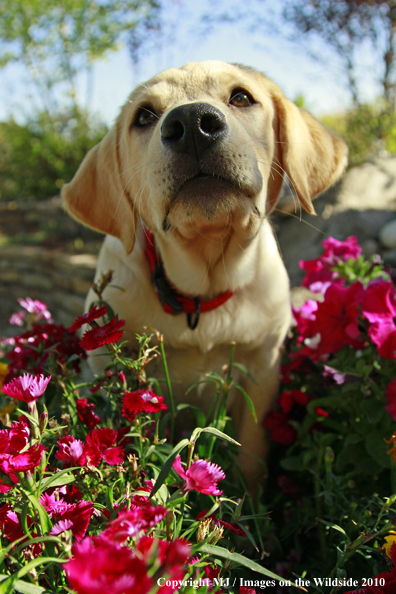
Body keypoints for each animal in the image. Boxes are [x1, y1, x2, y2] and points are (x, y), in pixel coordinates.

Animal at [61, 60, 346, 488]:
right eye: (144, 116)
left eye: (241, 97)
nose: (192, 122)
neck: (202, 291)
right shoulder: (114, 371)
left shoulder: (263, 368)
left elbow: (251, 451)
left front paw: (248, 500)